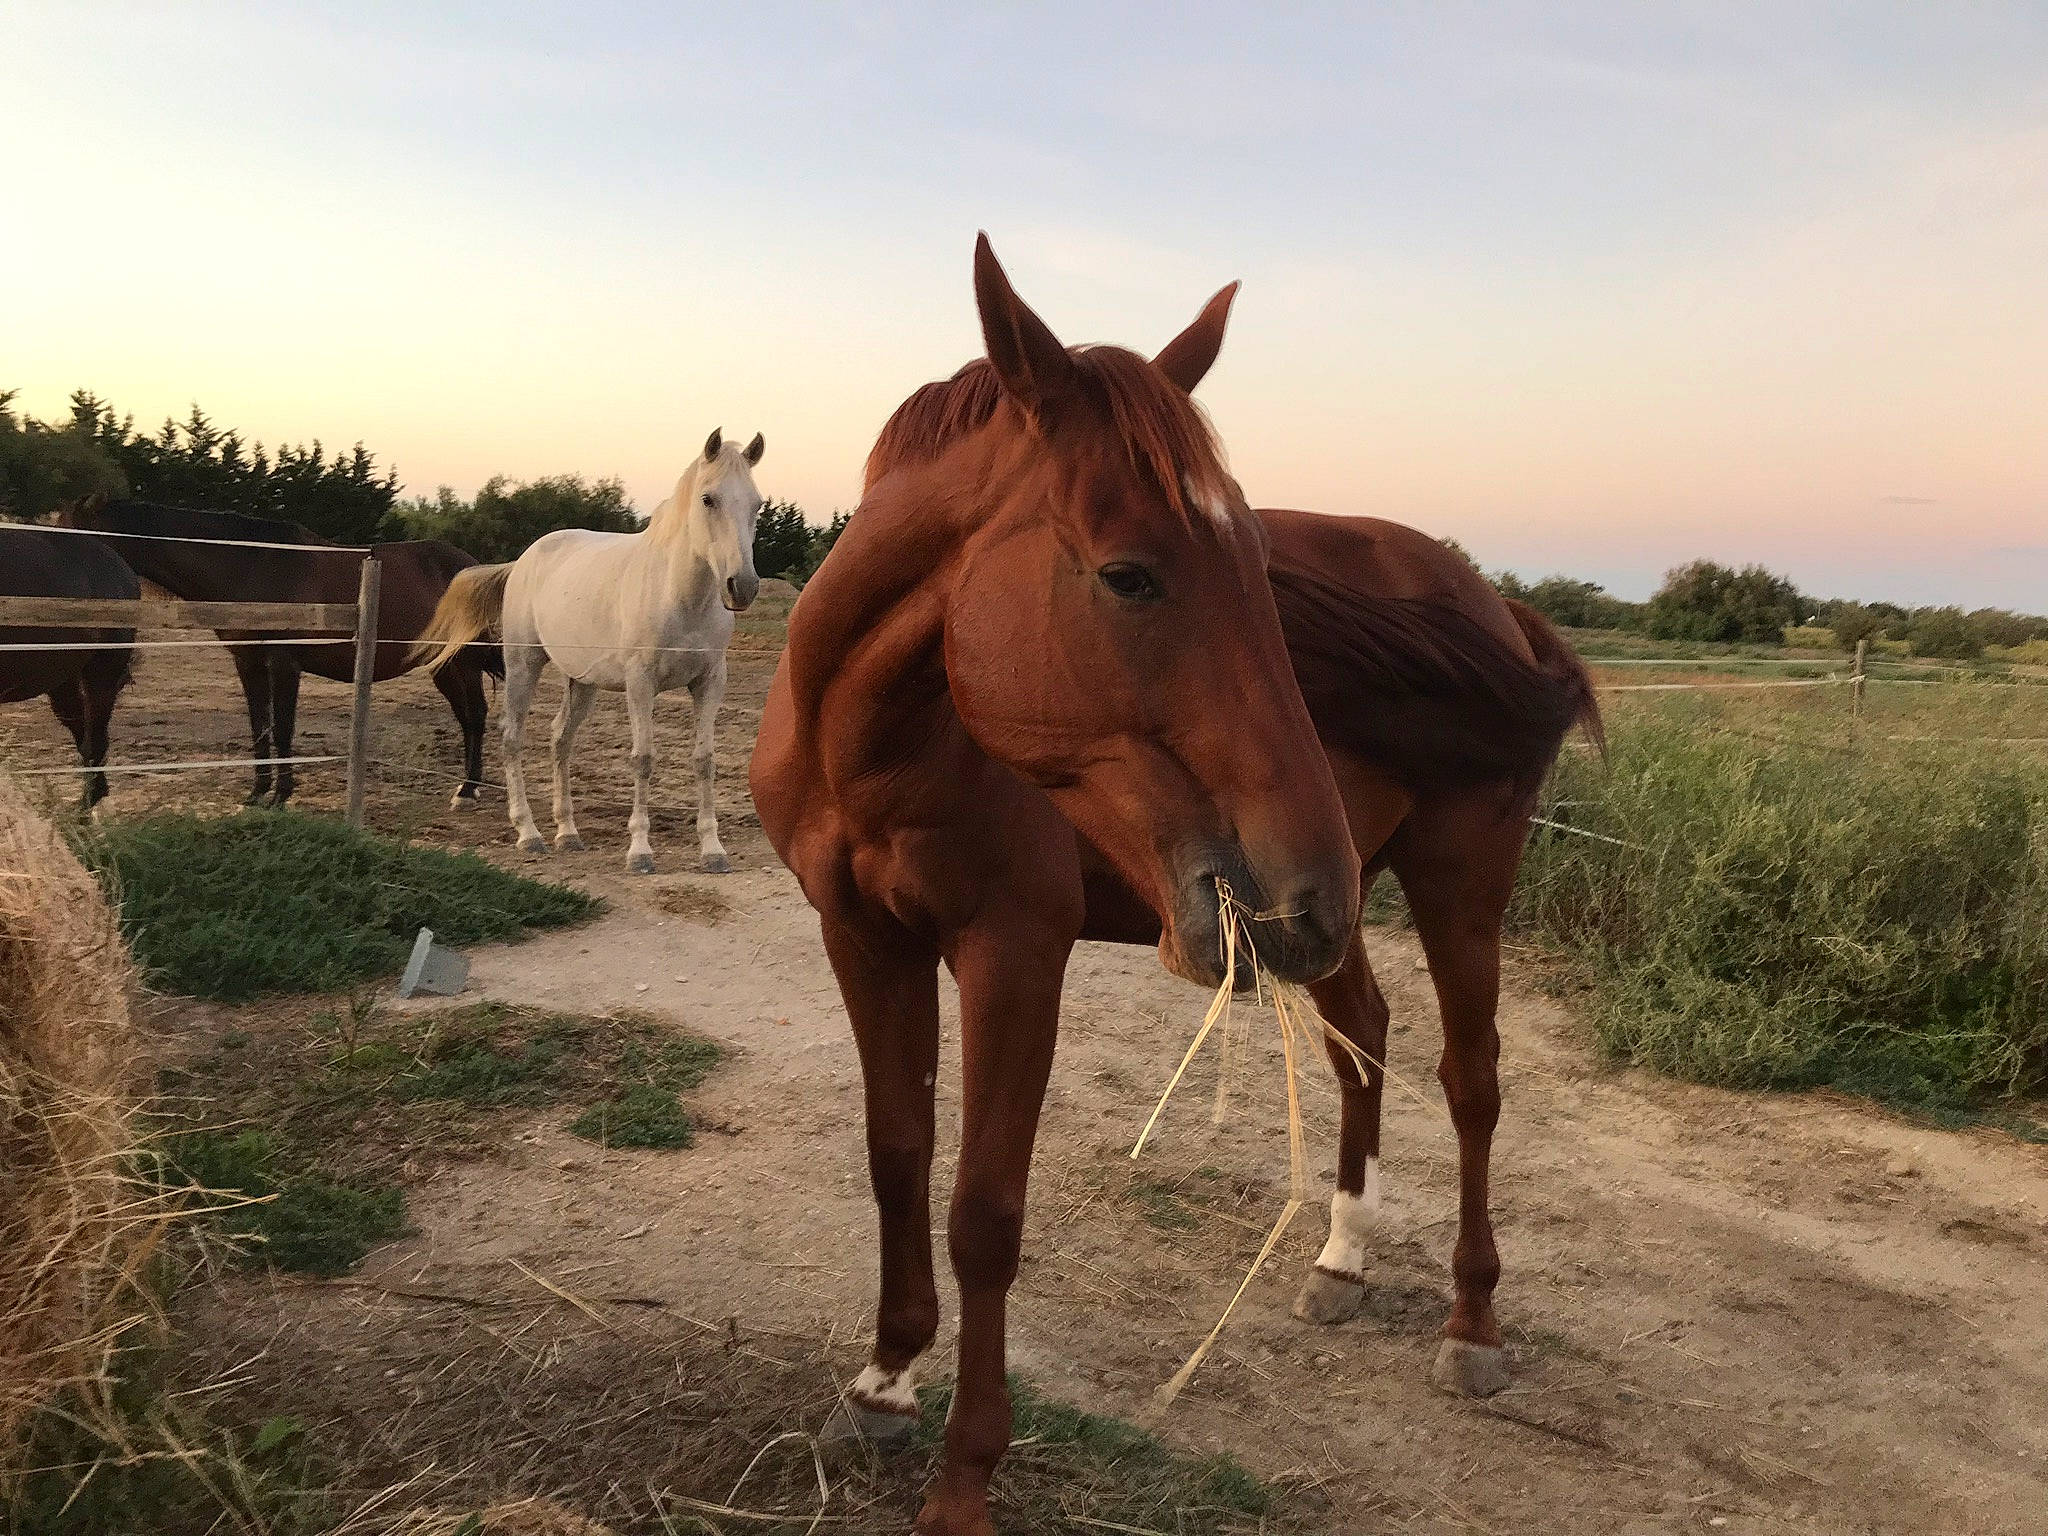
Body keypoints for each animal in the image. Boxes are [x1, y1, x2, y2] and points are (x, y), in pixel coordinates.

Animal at [56, 500, 501, 809]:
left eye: (82, 533)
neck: (253, 567)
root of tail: (471, 564)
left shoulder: (284, 662)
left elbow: (283, 728)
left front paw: (281, 796)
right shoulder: (248, 662)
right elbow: (261, 727)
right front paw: (258, 792)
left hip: (467, 662)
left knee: (478, 715)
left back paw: (469, 790)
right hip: (446, 665)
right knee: (470, 717)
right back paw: (468, 788)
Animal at [411, 429, 765, 876]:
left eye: (757, 503)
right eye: (708, 499)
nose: (743, 586)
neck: (677, 594)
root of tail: (523, 561)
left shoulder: (710, 682)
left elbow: (704, 761)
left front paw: (713, 851)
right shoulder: (640, 682)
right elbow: (643, 758)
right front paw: (640, 852)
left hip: (581, 682)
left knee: (560, 739)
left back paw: (567, 832)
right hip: (523, 665)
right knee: (512, 738)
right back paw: (529, 833)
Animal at [752, 238, 1600, 1536]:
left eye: (1257, 573)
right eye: (1128, 576)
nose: (1296, 878)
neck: (882, 738)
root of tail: (1490, 605)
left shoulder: (1013, 952)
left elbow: (984, 1211)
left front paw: (962, 1479)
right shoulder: (860, 936)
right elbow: (895, 1155)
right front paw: (883, 1386)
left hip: (1435, 886)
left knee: (1472, 1083)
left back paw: (1471, 1324)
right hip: (1334, 910)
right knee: (1365, 1035)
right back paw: (1341, 1258)